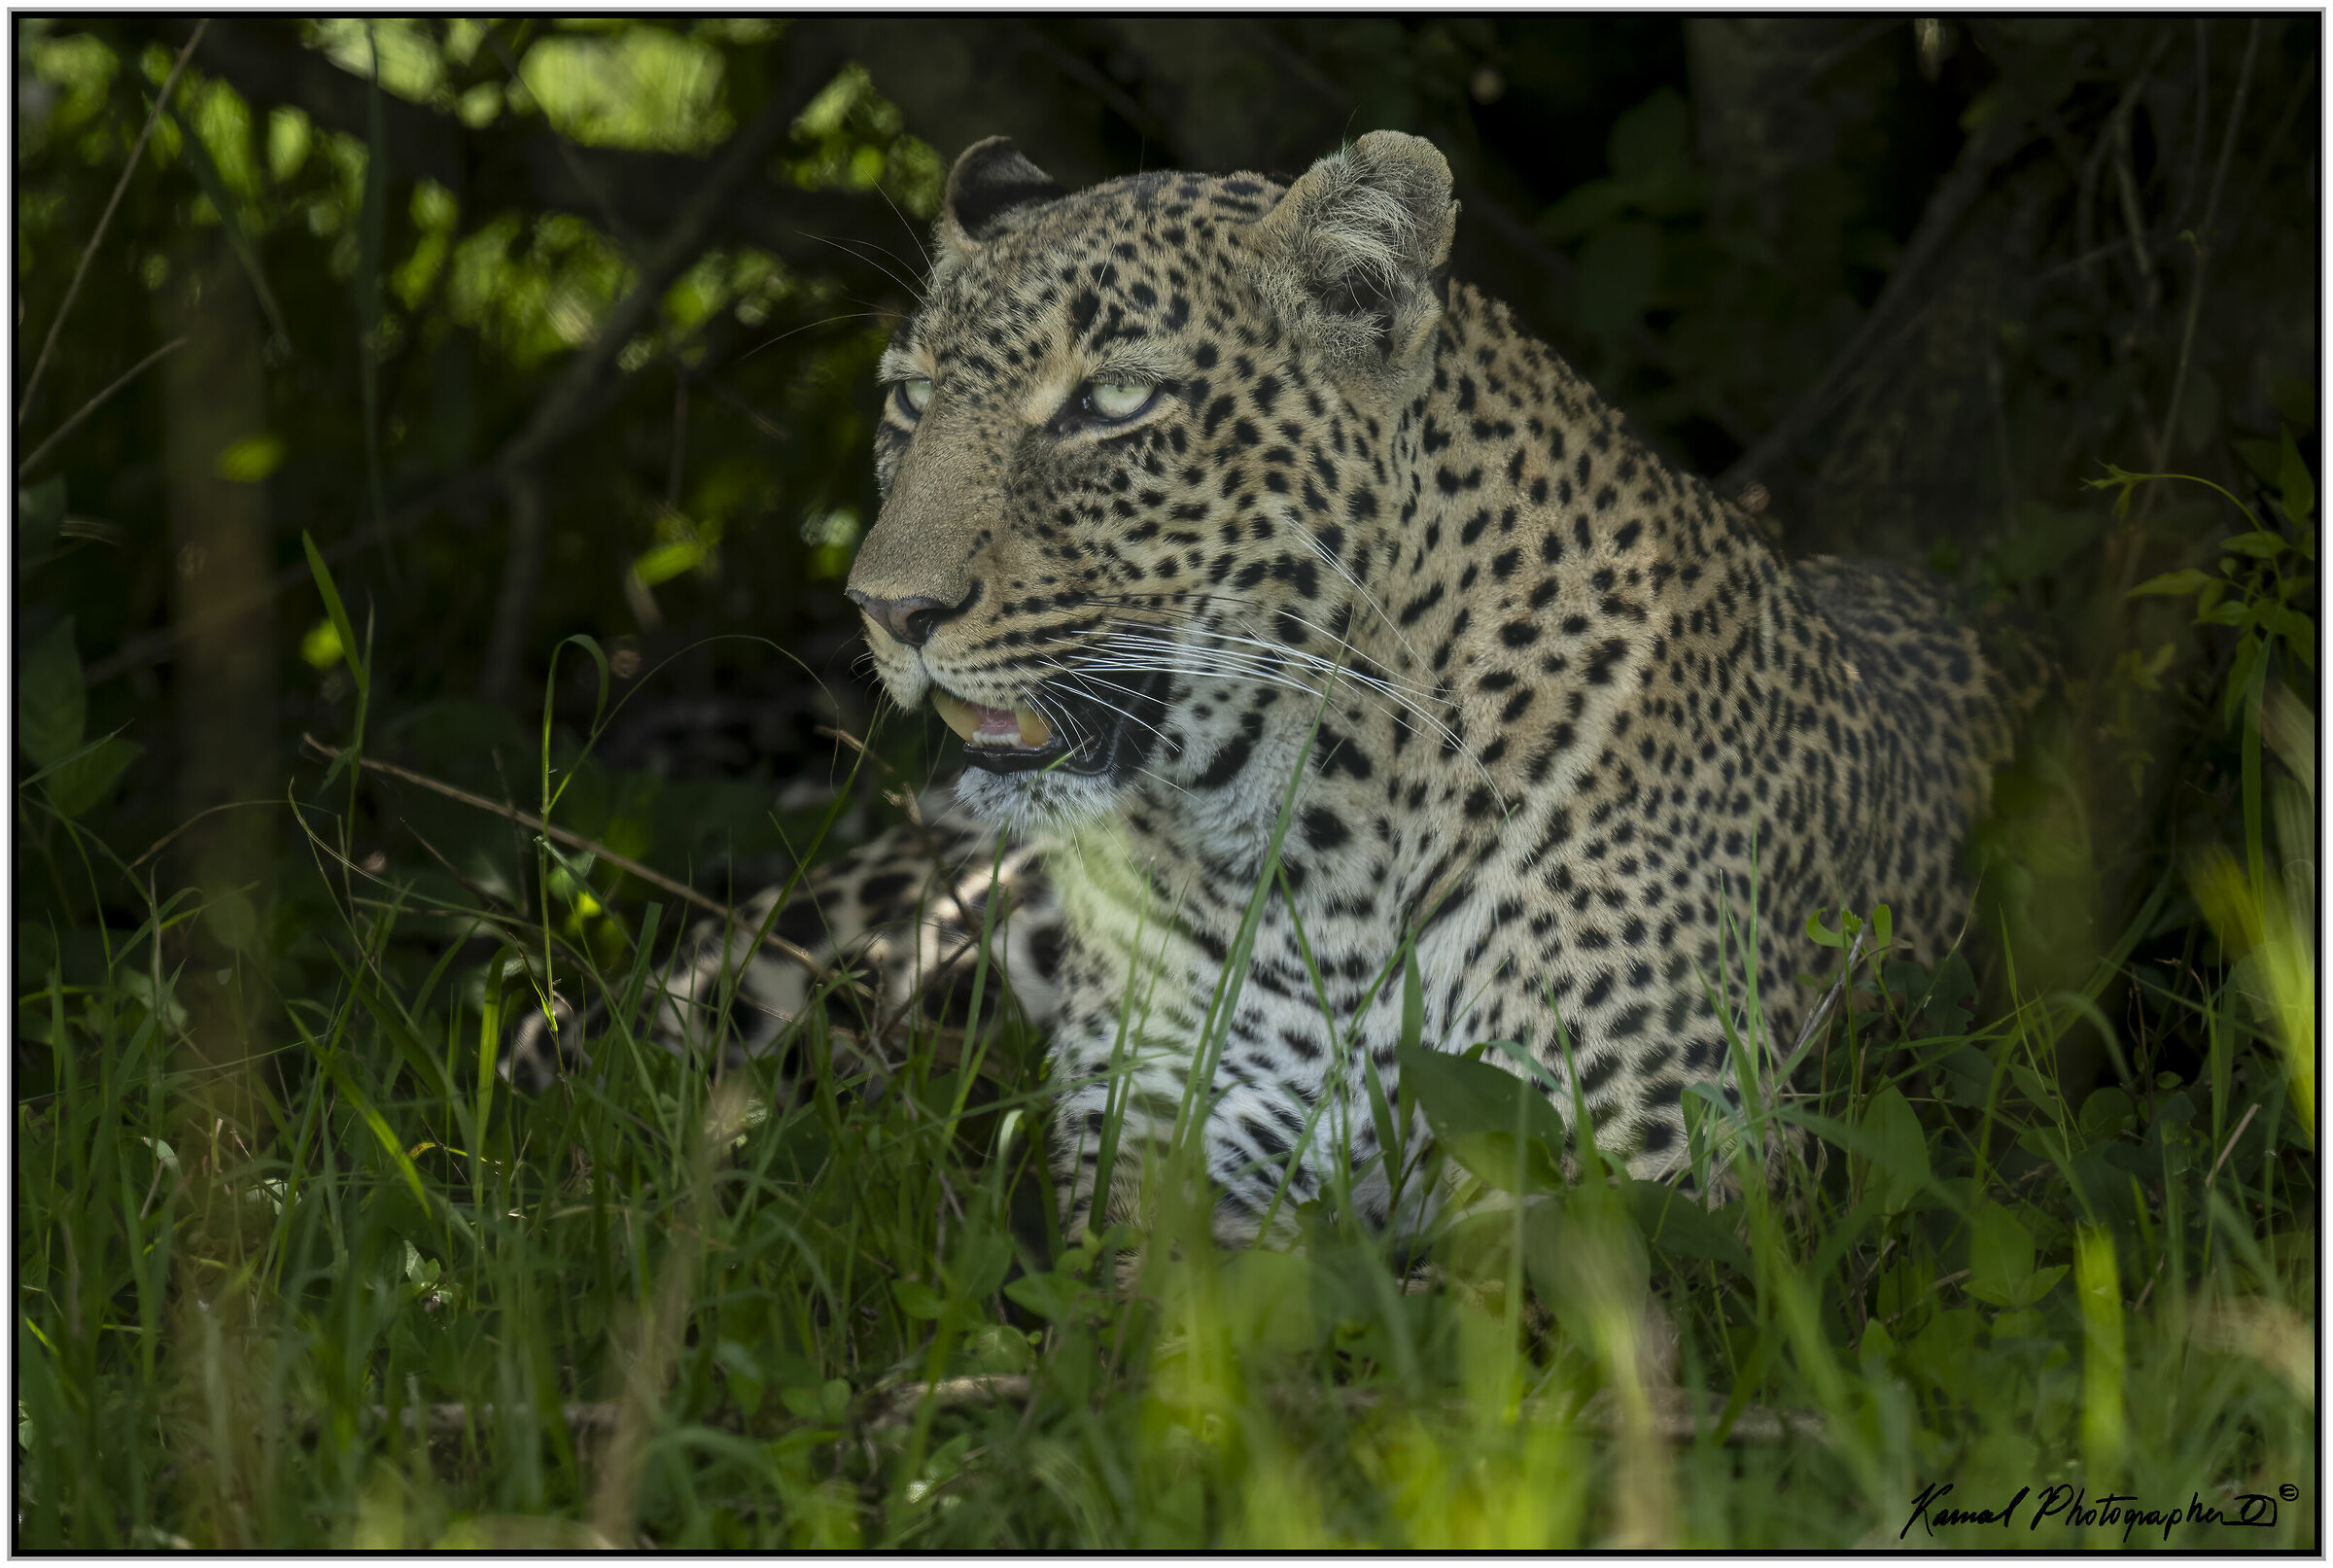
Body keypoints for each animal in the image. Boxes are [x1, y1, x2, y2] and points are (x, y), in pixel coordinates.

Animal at [508, 130, 2041, 1248]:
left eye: (1114, 405)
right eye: (911, 398)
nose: (889, 609)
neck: (1313, 839)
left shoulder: (1655, 1194)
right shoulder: (1161, 1158)